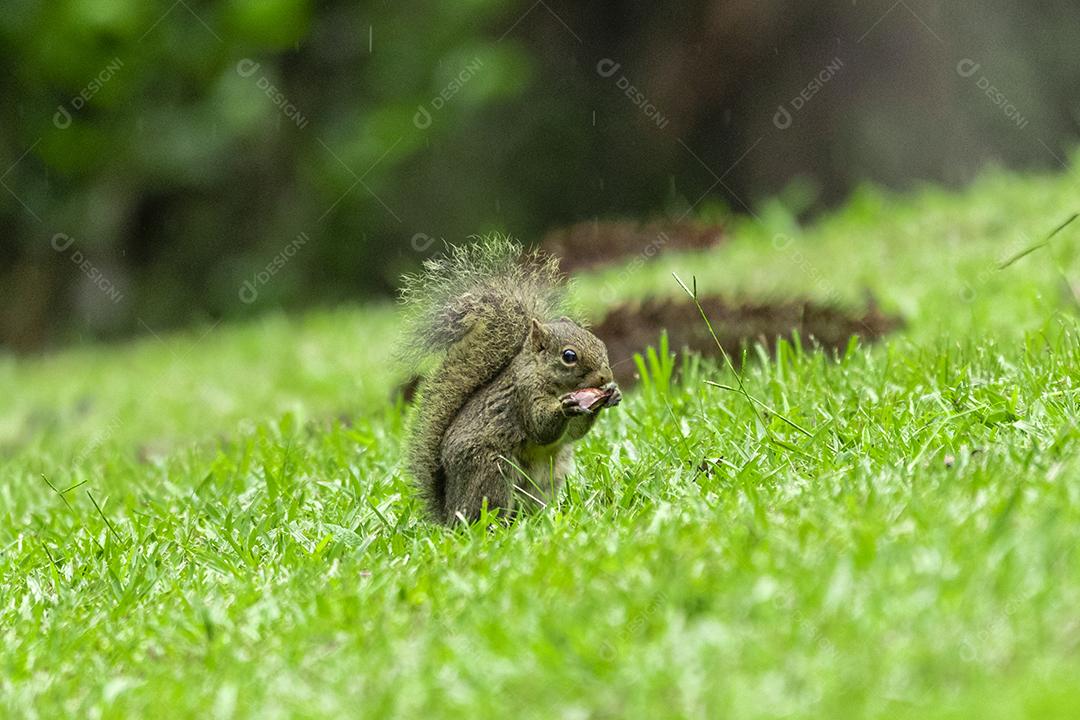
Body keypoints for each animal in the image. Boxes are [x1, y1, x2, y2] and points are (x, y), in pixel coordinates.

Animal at [401, 236, 622, 524]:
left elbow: (574, 432)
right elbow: (541, 428)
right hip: (492, 471)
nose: (606, 376)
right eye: (569, 356)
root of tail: (450, 511)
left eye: (601, 343)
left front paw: (612, 393)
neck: (549, 379)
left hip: (549, 475)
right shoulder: (523, 393)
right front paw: (567, 406)